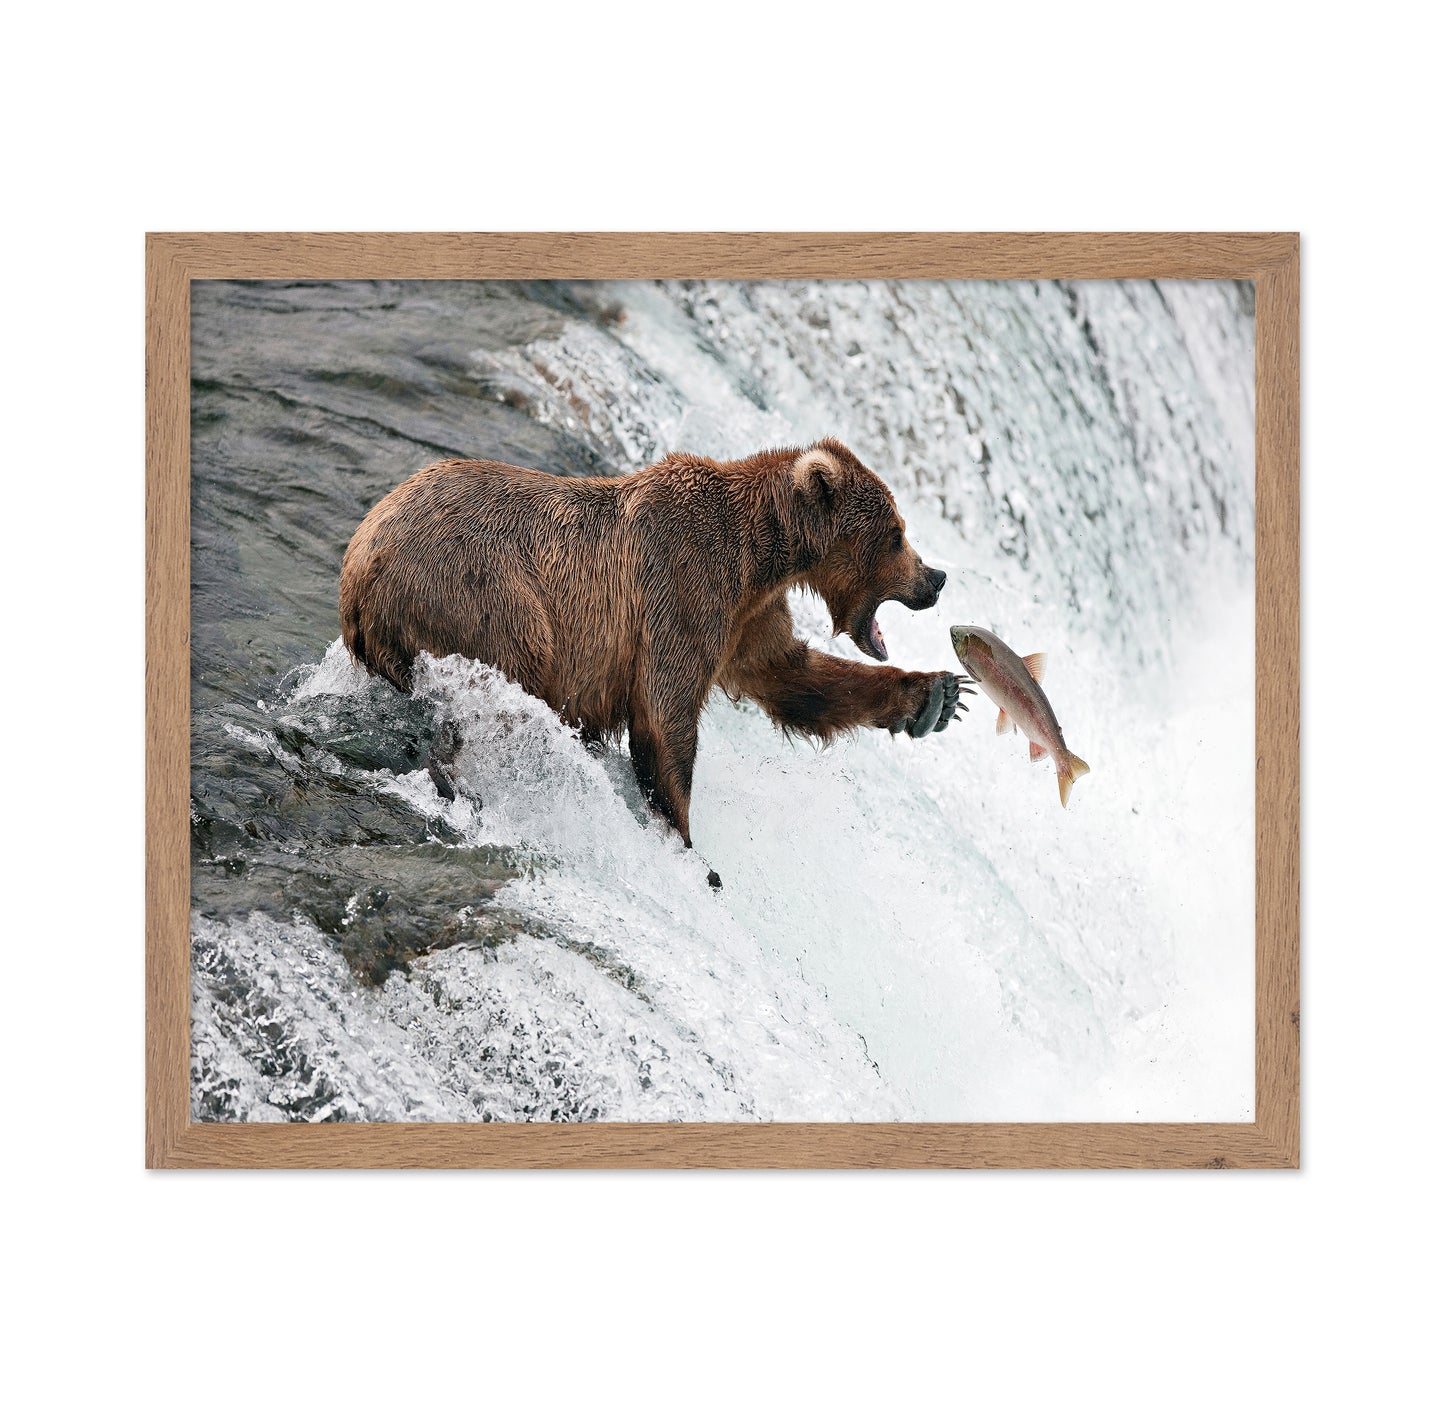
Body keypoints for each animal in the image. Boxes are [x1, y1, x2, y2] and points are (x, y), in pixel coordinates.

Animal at [339, 437, 966, 849]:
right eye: (897, 534)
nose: (935, 578)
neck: (762, 555)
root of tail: (361, 562)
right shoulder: (685, 588)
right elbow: (666, 718)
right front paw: (685, 841)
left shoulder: (747, 618)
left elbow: (792, 677)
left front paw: (936, 696)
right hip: (485, 597)